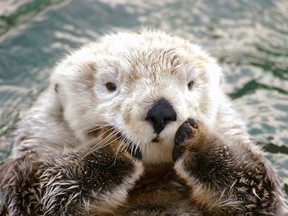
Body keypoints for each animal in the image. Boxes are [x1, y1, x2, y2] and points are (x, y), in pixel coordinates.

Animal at [0, 29, 288, 215]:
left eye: (190, 84)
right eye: (110, 86)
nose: (161, 110)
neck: (152, 177)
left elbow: (259, 186)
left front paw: (198, 143)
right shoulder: (38, 139)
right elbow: (34, 186)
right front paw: (113, 149)